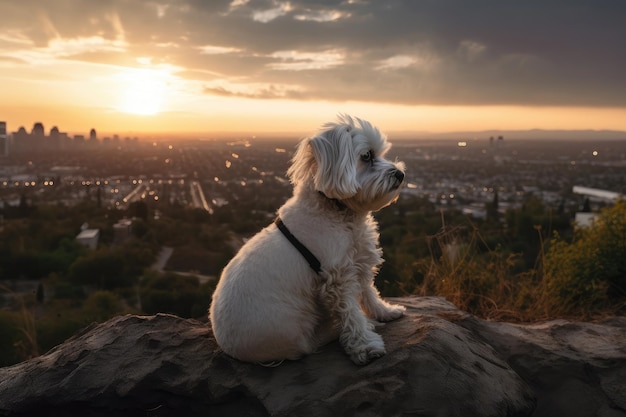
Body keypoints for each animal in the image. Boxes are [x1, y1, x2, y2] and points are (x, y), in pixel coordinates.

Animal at [210, 114, 404, 364]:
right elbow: (351, 315)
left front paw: (385, 312)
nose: (400, 174)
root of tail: (229, 349)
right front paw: (365, 345)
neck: (339, 213)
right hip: (299, 329)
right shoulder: (337, 280)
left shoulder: (359, 263)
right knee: (313, 341)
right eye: (367, 156)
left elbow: (369, 293)